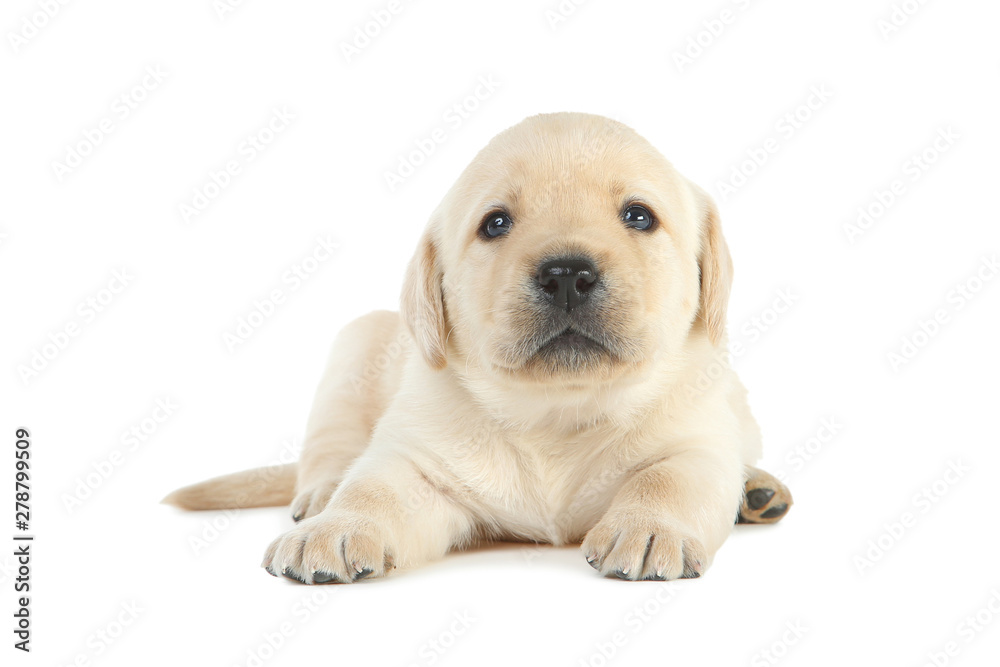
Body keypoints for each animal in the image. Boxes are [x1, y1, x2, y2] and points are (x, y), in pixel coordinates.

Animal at [164, 113, 788, 584]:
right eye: (495, 224)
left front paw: (650, 527)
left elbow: (669, 477)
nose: (567, 274)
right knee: (329, 450)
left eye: (639, 215)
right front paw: (336, 528)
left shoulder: (697, 441)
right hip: (352, 351)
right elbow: (374, 487)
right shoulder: (417, 461)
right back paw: (320, 497)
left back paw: (757, 490)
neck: (558, 410)